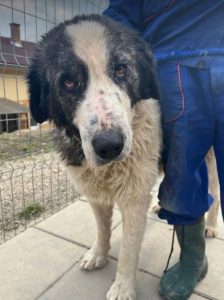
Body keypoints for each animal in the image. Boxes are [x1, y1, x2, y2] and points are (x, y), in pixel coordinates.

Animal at [27, 14, 162, 300]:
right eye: (68, 82)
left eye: (121, 69)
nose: (109, 146)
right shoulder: (95, 194)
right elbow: (102, 228)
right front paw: (98, 254)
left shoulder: (134, 200)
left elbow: (128, 251)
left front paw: (122, 288)